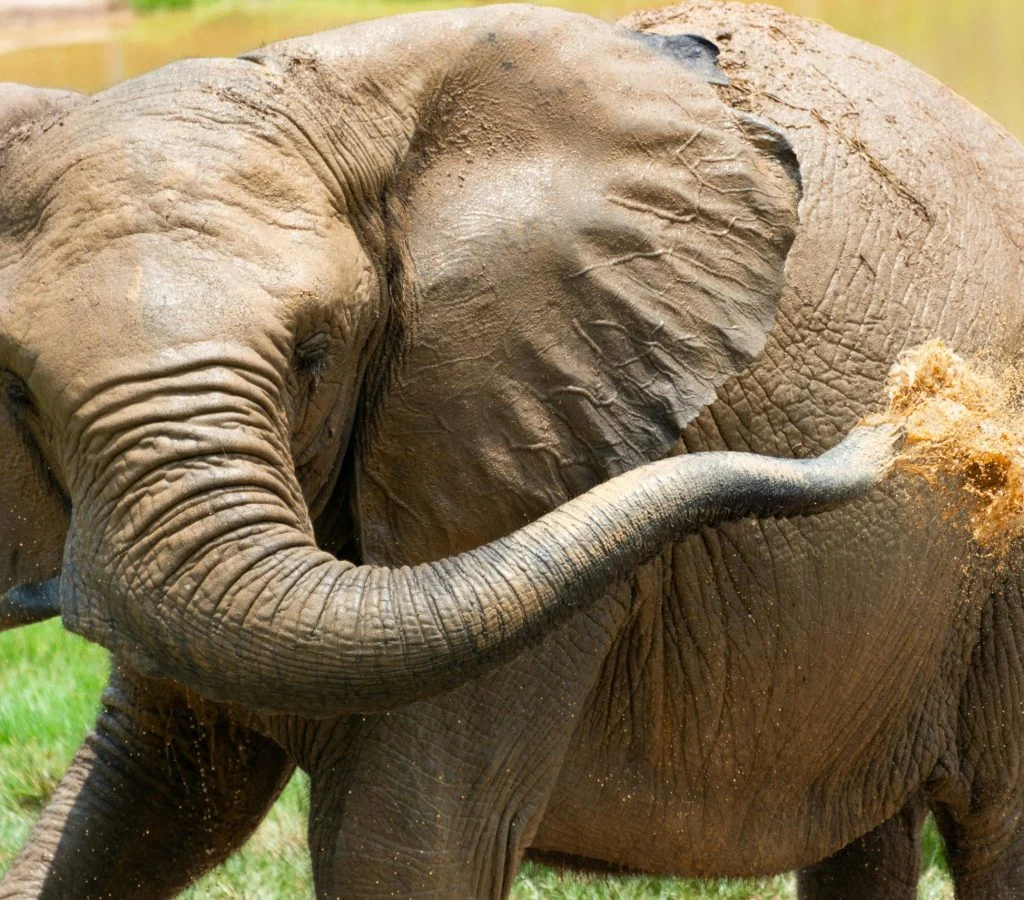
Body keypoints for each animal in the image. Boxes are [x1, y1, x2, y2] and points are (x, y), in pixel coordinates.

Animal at [0, 0, 1021, 898]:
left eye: (314, 355)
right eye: (15, 389)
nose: (905, 417)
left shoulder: (541, 459)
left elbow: (406, 843)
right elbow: (140, 798)